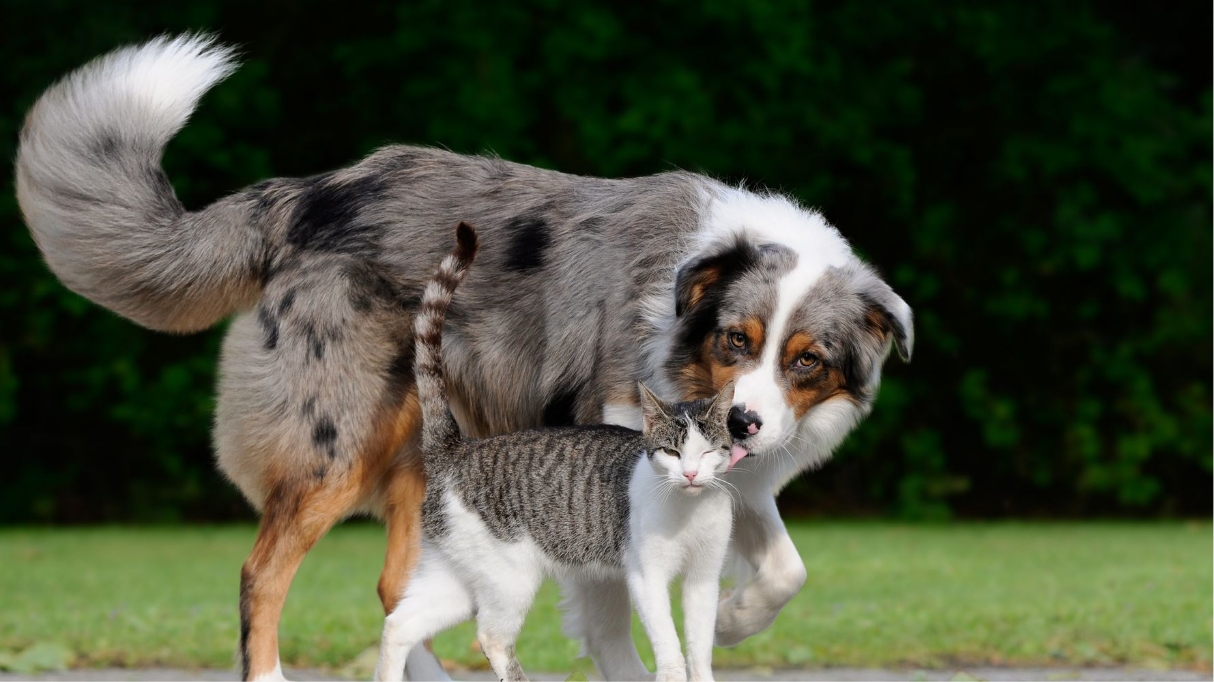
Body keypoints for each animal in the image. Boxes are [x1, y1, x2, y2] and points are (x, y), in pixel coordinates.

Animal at [376, 220, 738, 674]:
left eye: (707, 451)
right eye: (672, 452)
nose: (690, 473)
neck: (689, 511)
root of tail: (456, 447)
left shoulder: (704, 579)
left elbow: (699, 652)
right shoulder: (647, 577)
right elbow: (671, 652)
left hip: (454, 576)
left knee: (398, 625)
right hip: (508, 577)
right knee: (491, 637)